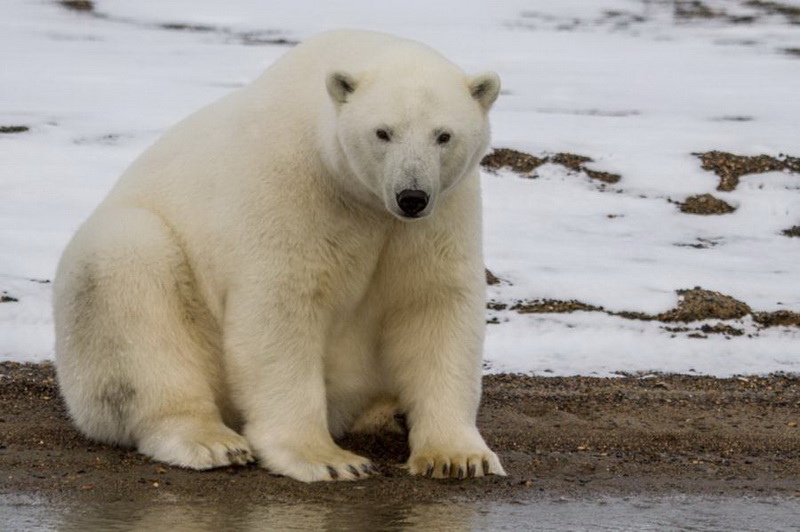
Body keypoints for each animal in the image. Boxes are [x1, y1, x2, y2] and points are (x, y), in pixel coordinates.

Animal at [53, 31, 506, 484]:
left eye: (443, 135)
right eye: (383, 132)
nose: (411, 196)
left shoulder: (441, 212)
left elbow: (435, 304)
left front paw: (459, 457)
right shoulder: (293, 189)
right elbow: (281, 309)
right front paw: (328, 459)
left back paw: (385, 412)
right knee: (128, 270)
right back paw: (211, 440)